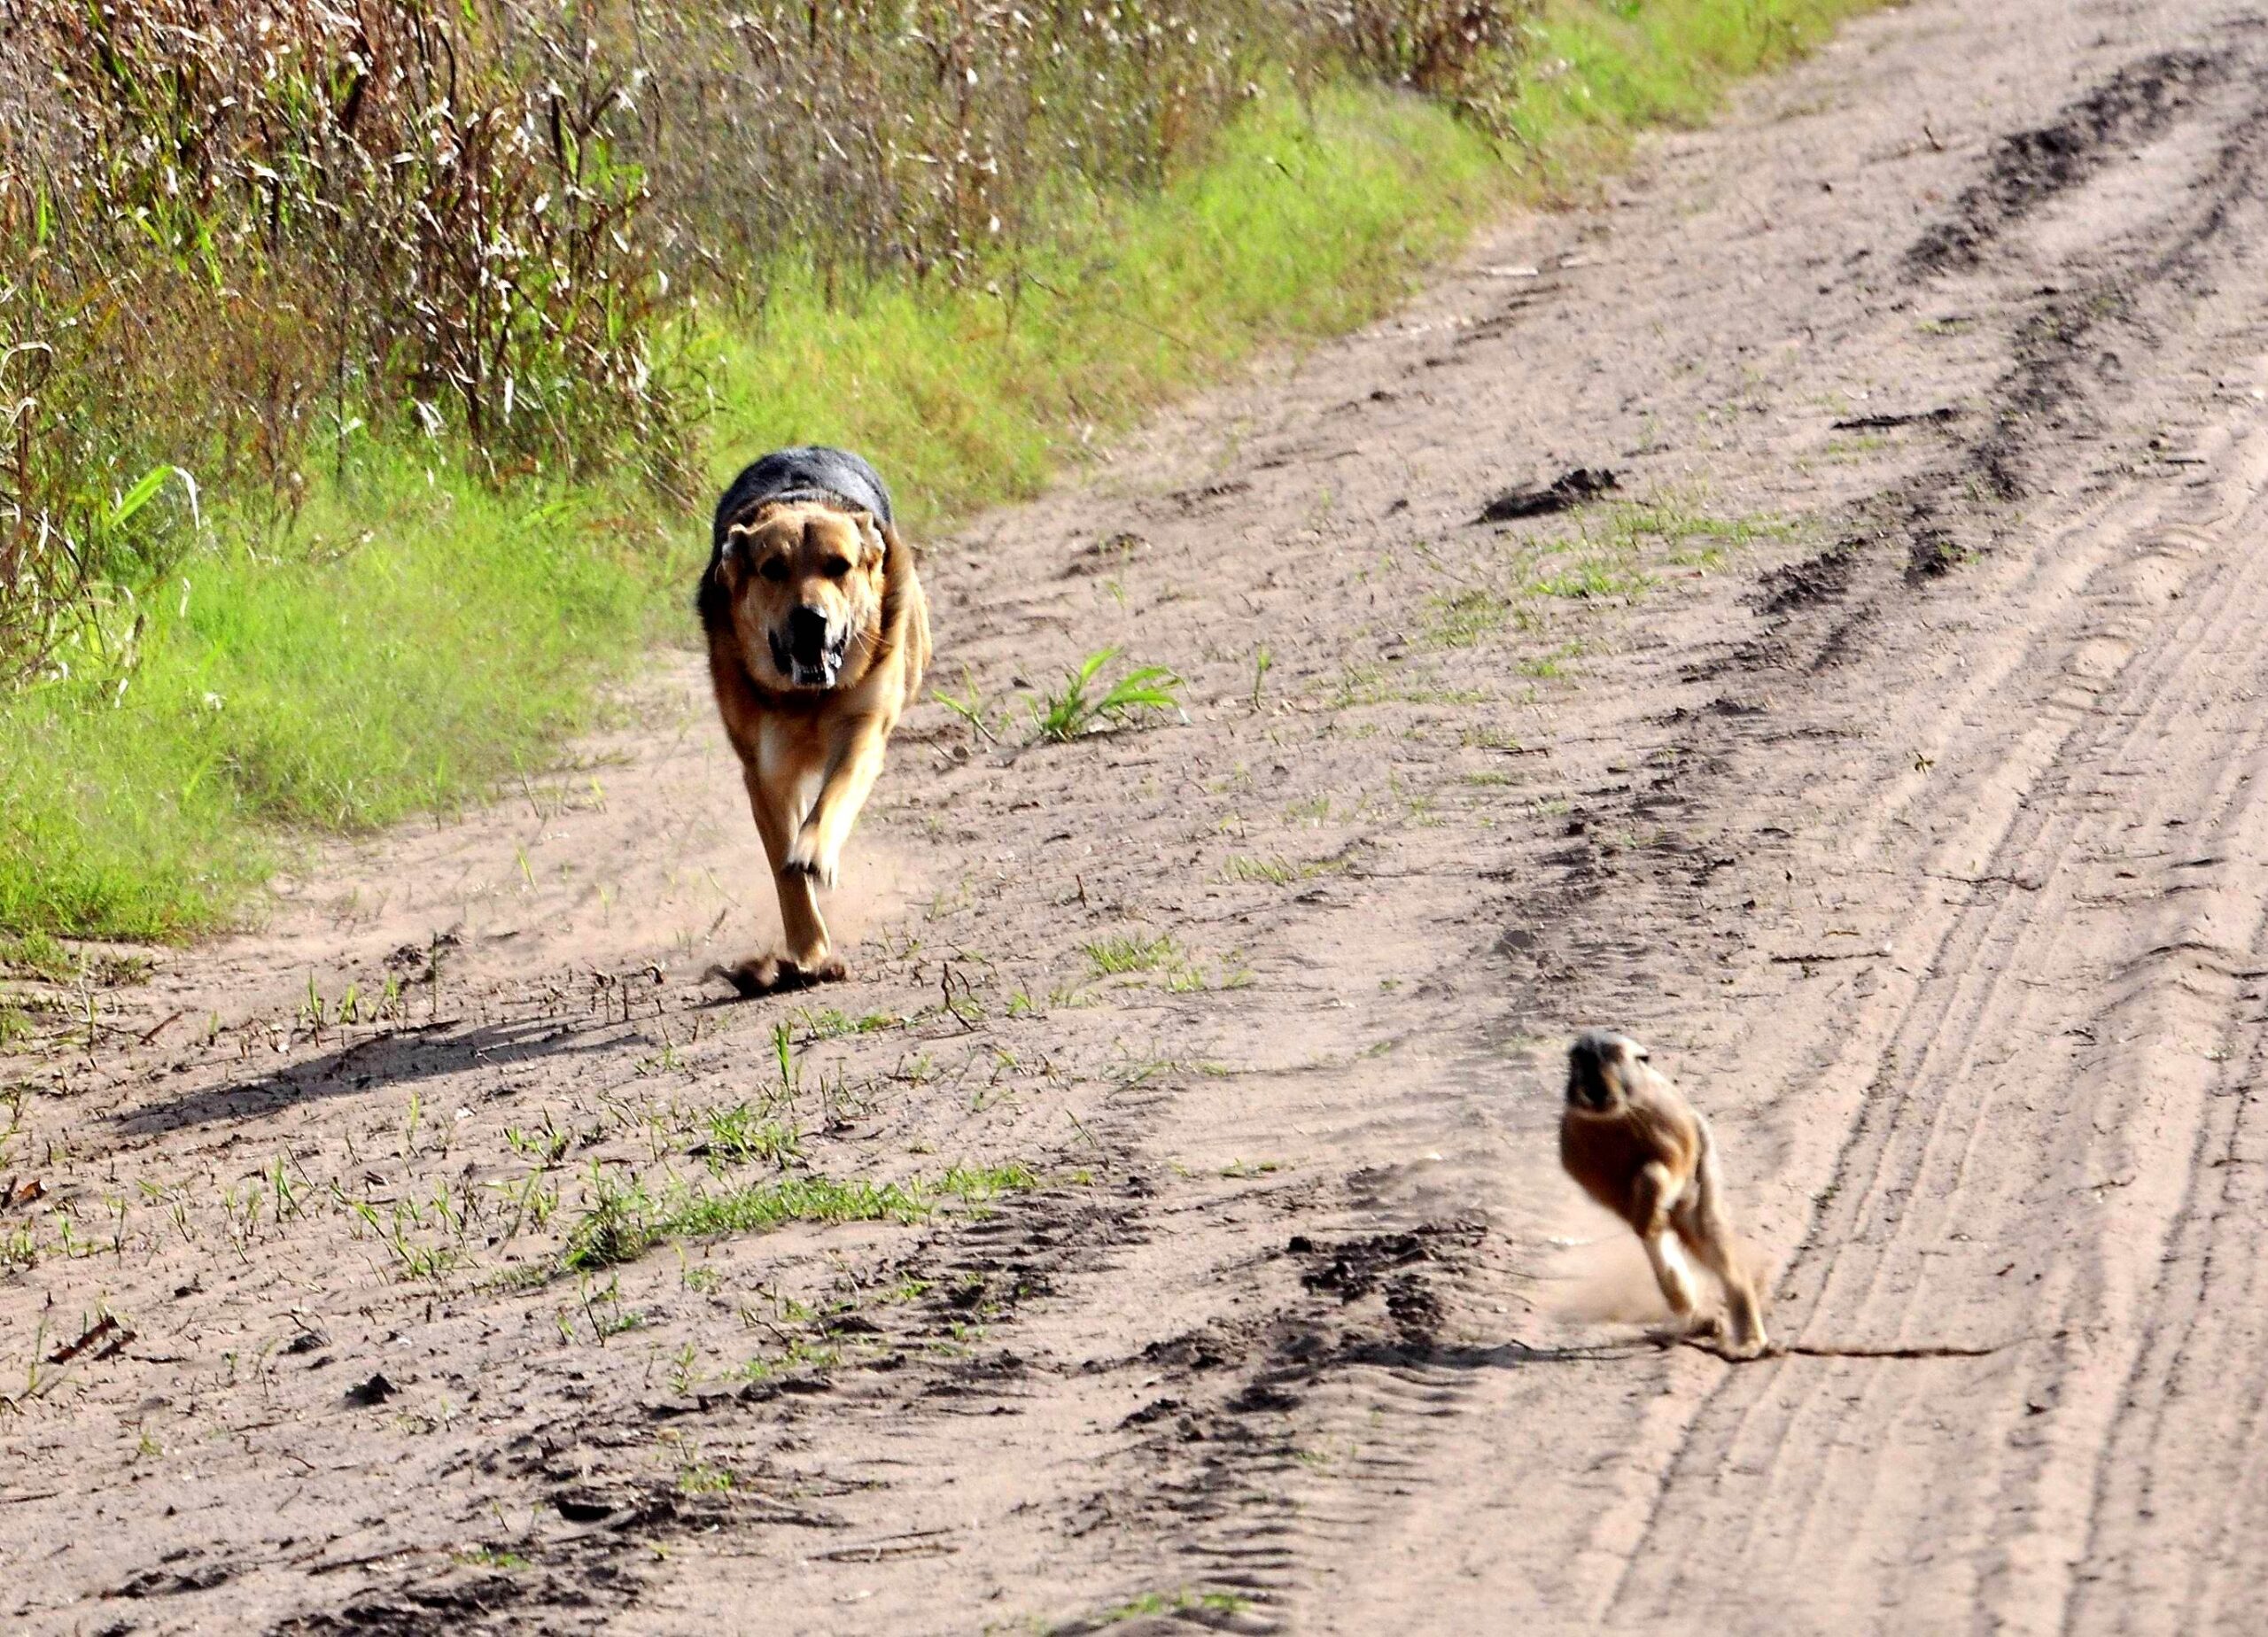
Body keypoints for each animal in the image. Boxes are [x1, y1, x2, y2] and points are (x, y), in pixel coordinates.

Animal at [697, 447, 930, 995]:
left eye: (838, 566)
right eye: (773, 569)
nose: (810, 619)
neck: (808, 698)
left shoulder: (863, 730)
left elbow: (834, 798)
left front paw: (814, 851)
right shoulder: (765, 770)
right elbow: (784, 871)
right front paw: (808, 952)